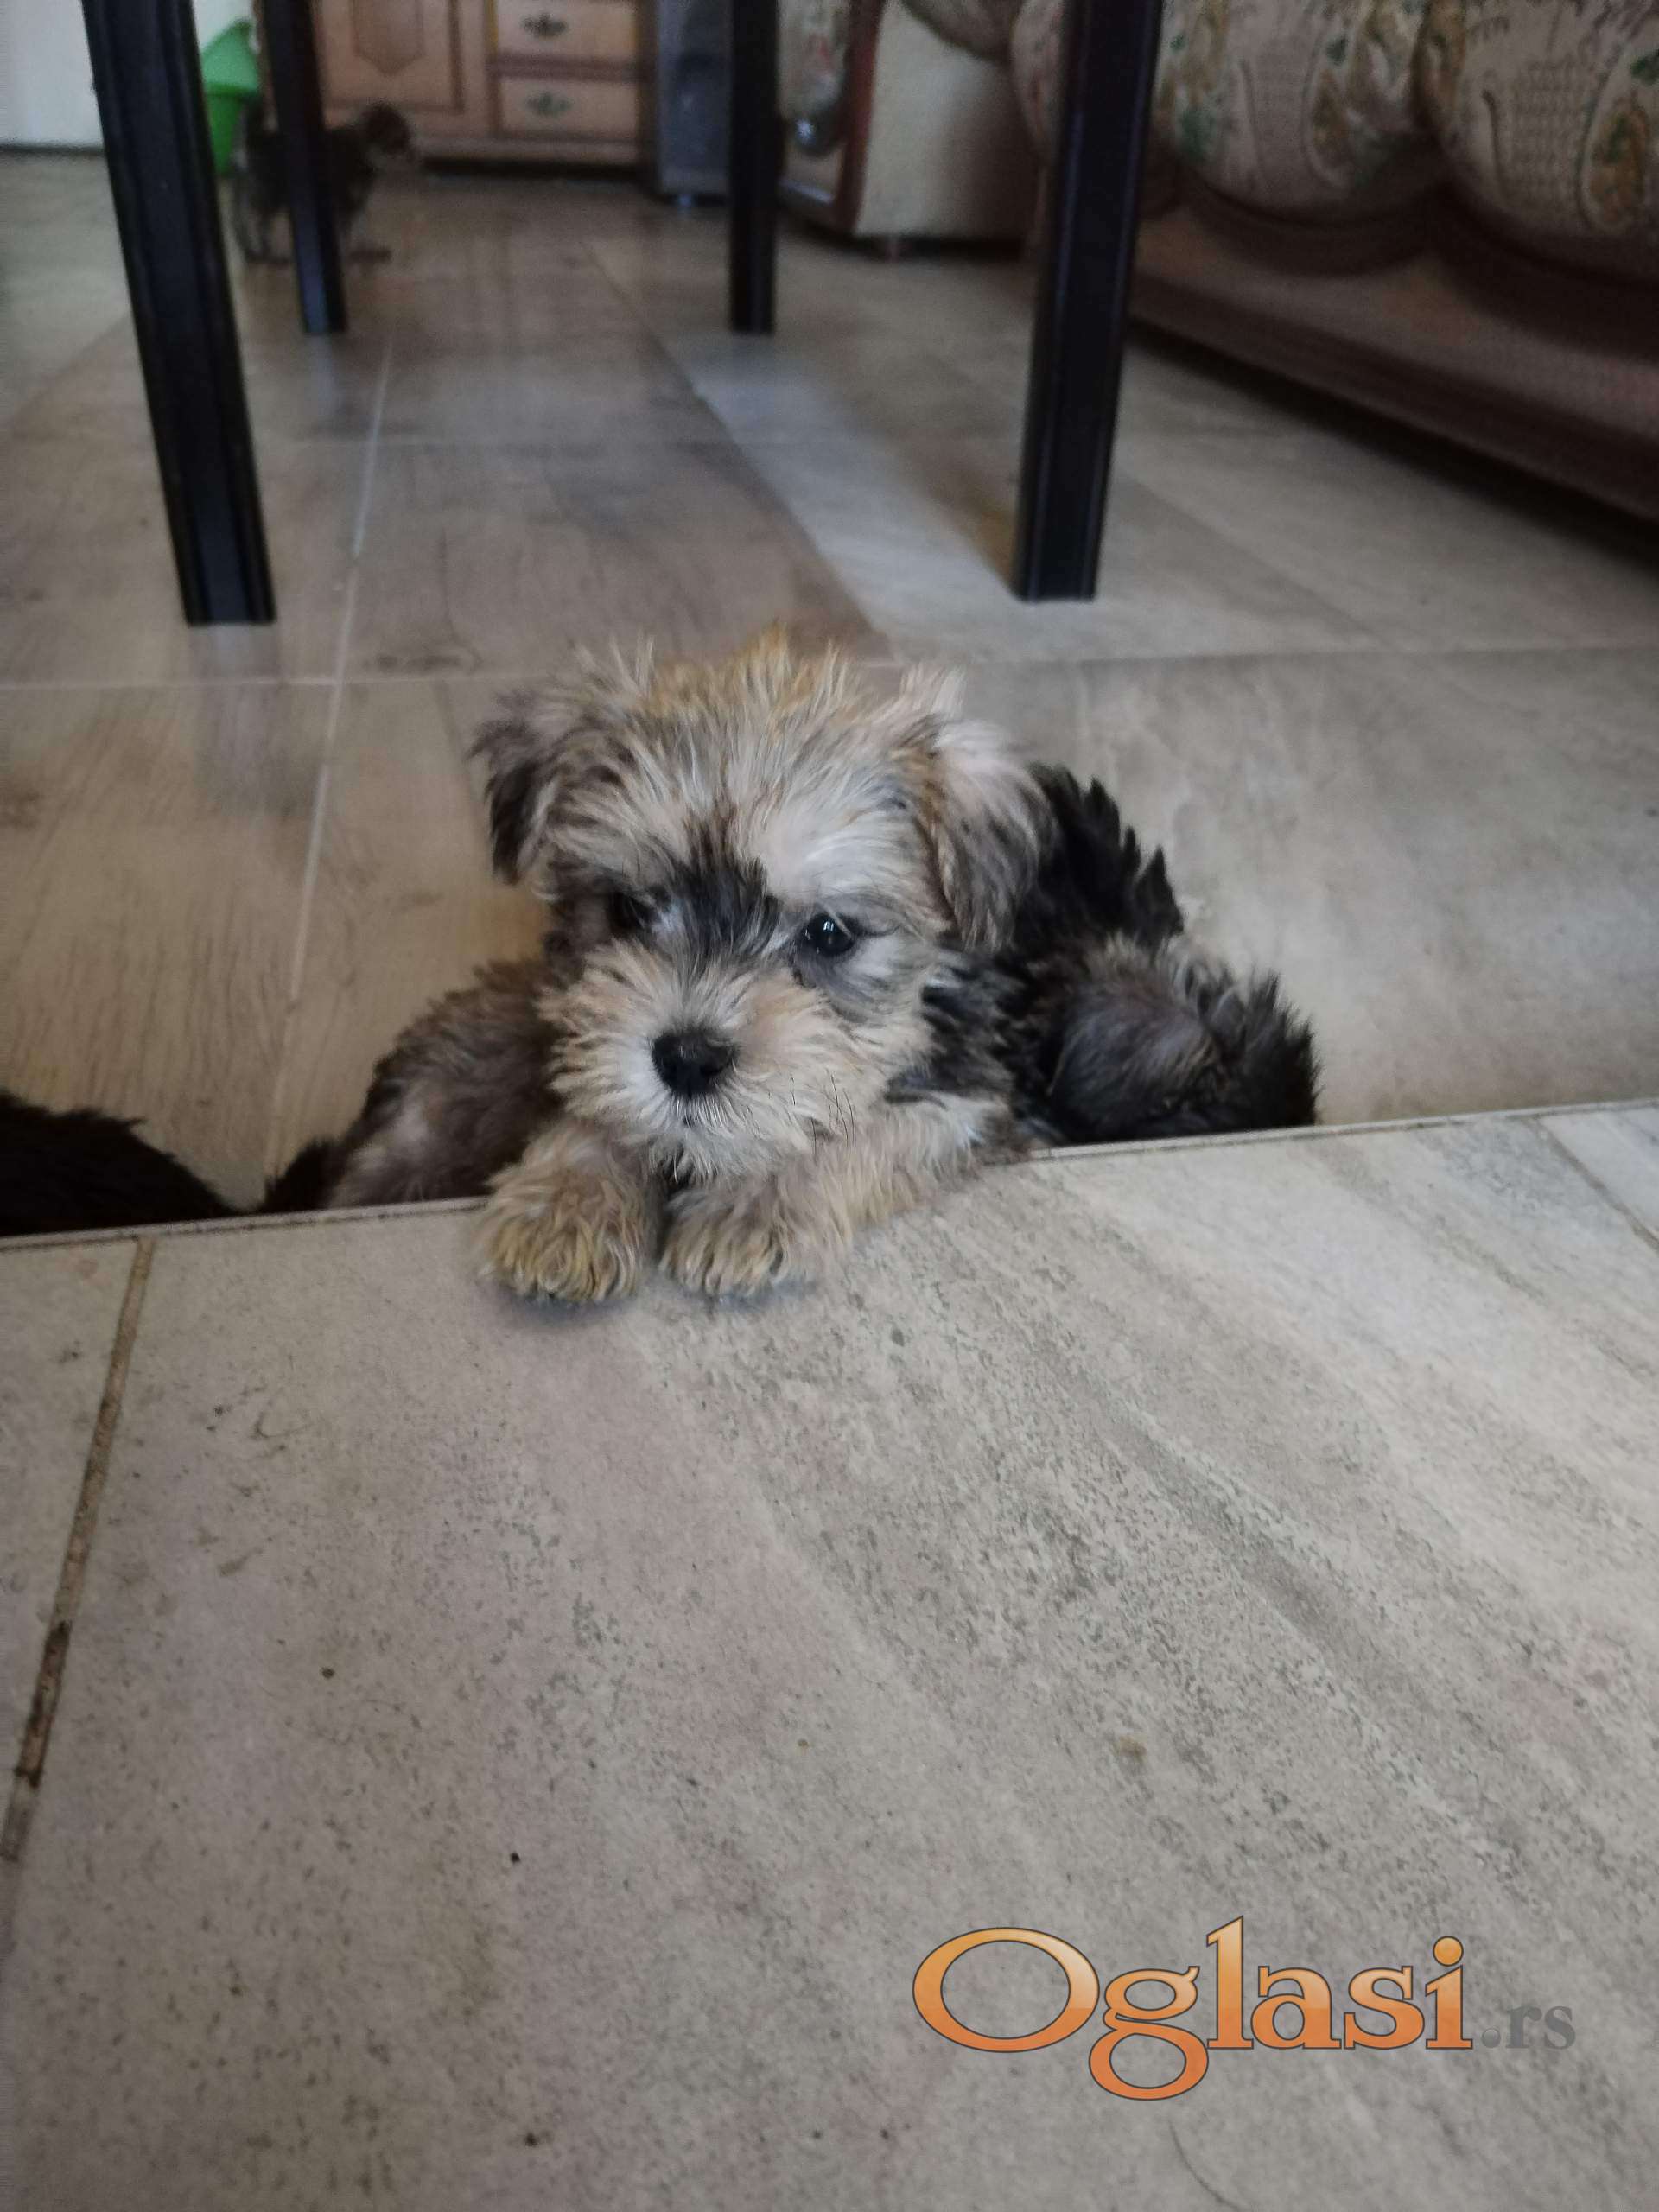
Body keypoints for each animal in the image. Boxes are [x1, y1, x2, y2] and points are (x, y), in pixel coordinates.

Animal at [229, 100, 412, 266]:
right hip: (272, 195)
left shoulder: (359, 200)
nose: (413, 156)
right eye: (397, 140)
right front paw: (348, 255)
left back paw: (253, 254)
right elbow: (346, 233)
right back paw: (271, 256)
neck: (362, 151)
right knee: (261, 225)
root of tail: (254, 141)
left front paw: (368, 249)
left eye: (407, 139)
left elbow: (363, 226)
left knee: (243, 223)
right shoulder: (344, 201)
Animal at [297, 637, 1317, 1298]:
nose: (687, 1057)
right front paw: (569, 1200)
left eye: (828, 935)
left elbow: (866, 1124)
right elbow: (596, 1097)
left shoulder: (974, 1090)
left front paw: (754, 1202)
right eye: (626, 911)